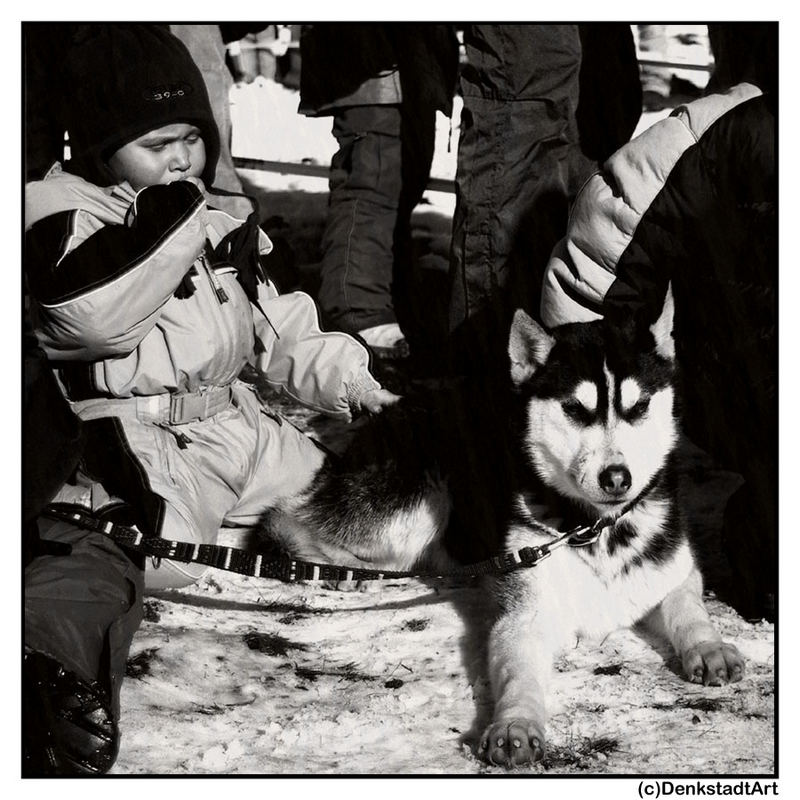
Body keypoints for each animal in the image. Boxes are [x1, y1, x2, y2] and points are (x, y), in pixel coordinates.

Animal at [262, 290, 744, 764]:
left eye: (639, 407)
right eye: (575, 409)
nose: (616, 478)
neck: (592, 528)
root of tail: (396, 406)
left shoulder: (672, 567)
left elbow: (687, 605)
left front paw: (708, 646)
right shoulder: (524, 613)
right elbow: (519, 674)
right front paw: (516, 724)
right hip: (423, 493)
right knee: (287, 515)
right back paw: (337, 569)